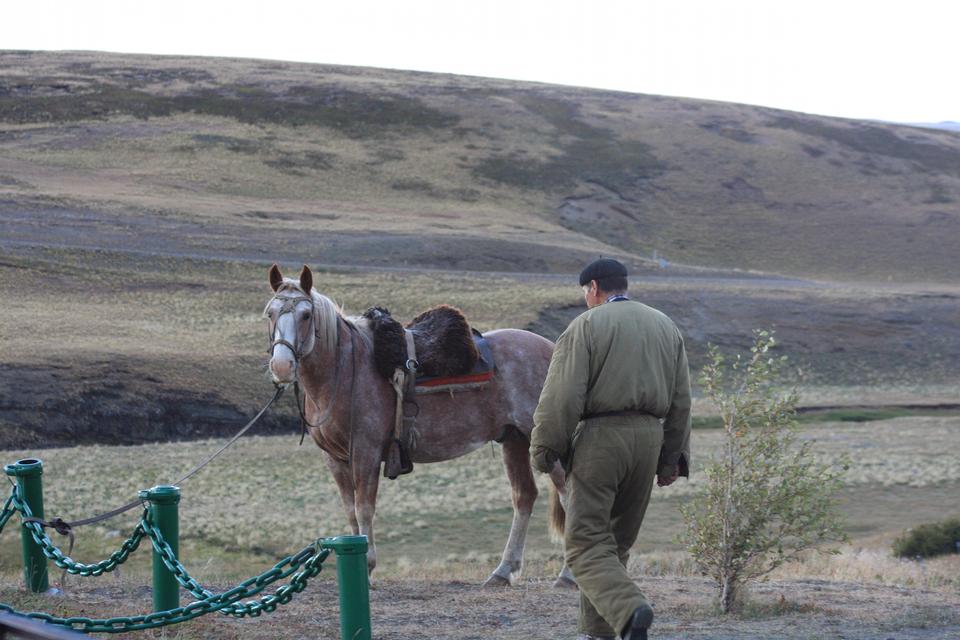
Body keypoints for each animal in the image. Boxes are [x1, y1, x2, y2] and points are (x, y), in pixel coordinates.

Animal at [262, 262, 572, 588]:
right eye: (270, 313)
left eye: (306, 315)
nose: (281, 367)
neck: (344, 371)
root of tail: (554, 348)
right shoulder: (334, 458)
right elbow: (350, 512)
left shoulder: (366, 453)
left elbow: (364, 508)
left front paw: (368, 566)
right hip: (514, 440)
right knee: (524, 497)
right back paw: (502, 571)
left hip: (543, 443)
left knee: (568, 494)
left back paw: (567, 575)